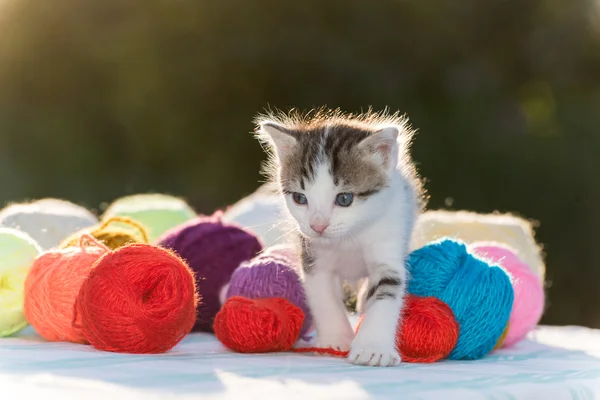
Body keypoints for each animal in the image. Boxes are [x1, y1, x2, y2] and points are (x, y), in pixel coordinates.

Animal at [255, 108, 424, 368]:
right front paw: (335, 339)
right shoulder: (313, 256)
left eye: (344, 199)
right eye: (300, 198)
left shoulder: (389, 241)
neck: (349, 237)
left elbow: (386, 291)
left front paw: (373, 348)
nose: (318, 225)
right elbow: (323, 297)